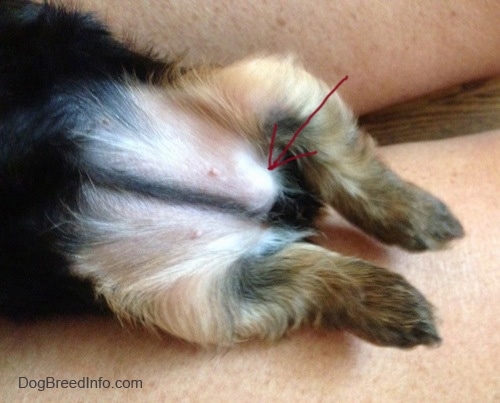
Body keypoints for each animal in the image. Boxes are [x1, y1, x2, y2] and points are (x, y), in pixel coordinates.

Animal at [0, 0, 462, 348]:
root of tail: (275, 206)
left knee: (344, 167)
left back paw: (424, 227)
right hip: (200, 287)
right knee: (309, 271)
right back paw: (402, 298)